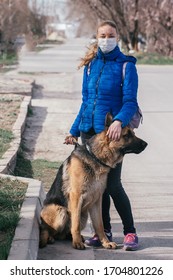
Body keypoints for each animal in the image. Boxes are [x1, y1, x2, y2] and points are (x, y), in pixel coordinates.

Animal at [39, 113, 147, 249]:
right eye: (126, 135)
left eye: (132, 133)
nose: (146, 144)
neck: (95, 157)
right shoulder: (76, 197)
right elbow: (75, 225)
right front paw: (77, 243)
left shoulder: (97, 200)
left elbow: (99, 224)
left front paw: (105, 242)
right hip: (60, 211)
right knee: (47, 230)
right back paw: (53, 238)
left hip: (83, 215)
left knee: (63, 233)